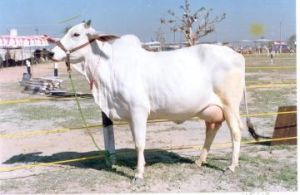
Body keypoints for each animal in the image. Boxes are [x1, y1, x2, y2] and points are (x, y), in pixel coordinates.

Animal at [50, 20, 248, 181]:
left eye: (76, 34)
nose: (50, 52)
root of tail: (237, 55)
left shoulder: (139, 110)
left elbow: (139, 143)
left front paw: (138, 174)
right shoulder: (130, 115)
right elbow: (135, 141)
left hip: (230, 106)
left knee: (236, 132)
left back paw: (231, 166)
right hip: (212, 111)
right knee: (211, 131)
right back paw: (200, 161)